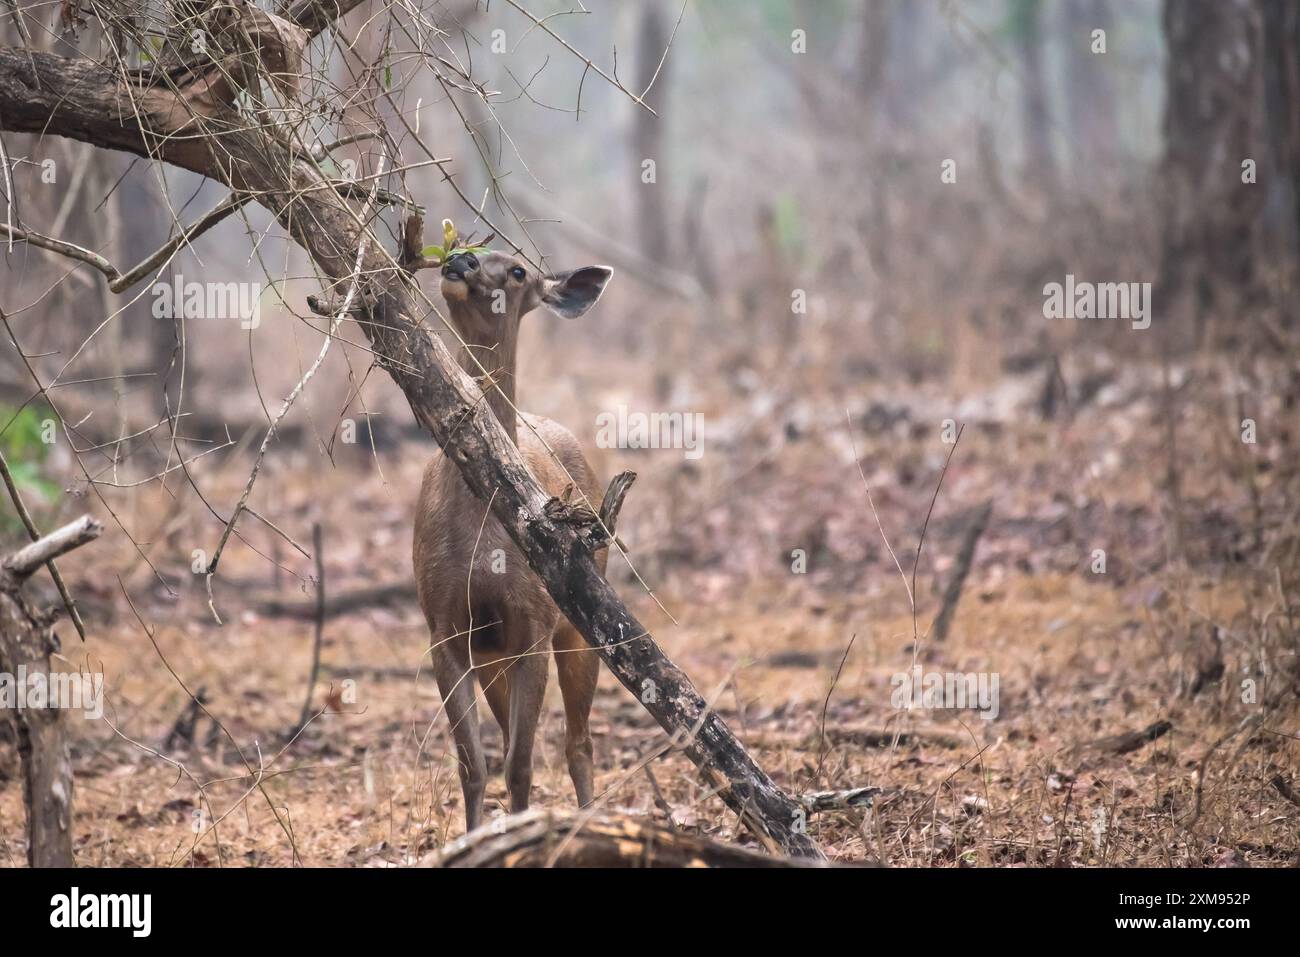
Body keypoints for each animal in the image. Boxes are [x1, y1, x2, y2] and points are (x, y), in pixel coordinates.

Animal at [413, 248, 614, 833]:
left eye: (520, 270)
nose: (460, 258)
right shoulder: (445, 628)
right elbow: (474, 767)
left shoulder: (534, 625)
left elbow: (521, 765)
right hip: (494, 657)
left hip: (579, 623)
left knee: (578, 743)